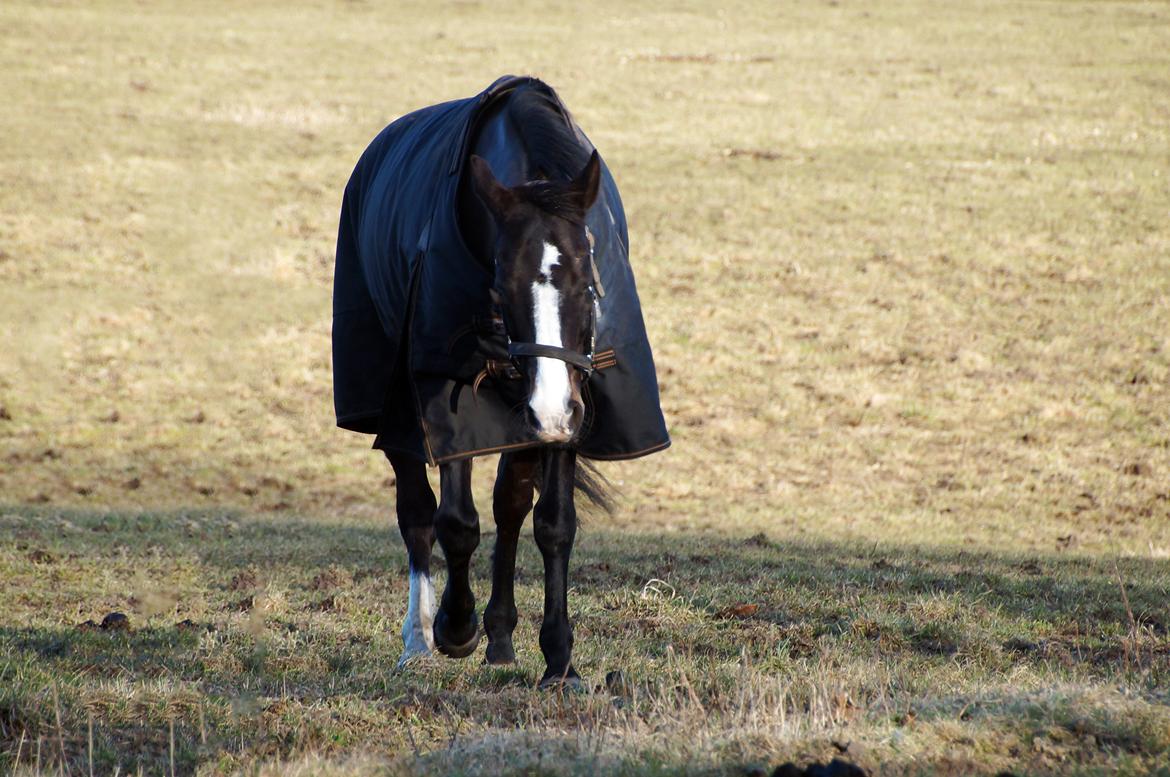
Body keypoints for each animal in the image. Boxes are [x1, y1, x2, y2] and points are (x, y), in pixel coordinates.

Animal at [334, 76, 673, 688]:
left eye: (589, 282)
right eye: (499, 286)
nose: (550, 409)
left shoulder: (569, 406)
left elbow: (552, 523)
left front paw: (559, 660)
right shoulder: (447, 399)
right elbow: (455, 522)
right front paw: (455, 628)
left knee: (510, 504)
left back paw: (501, 637)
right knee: (416, 511)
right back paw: (420, 640)